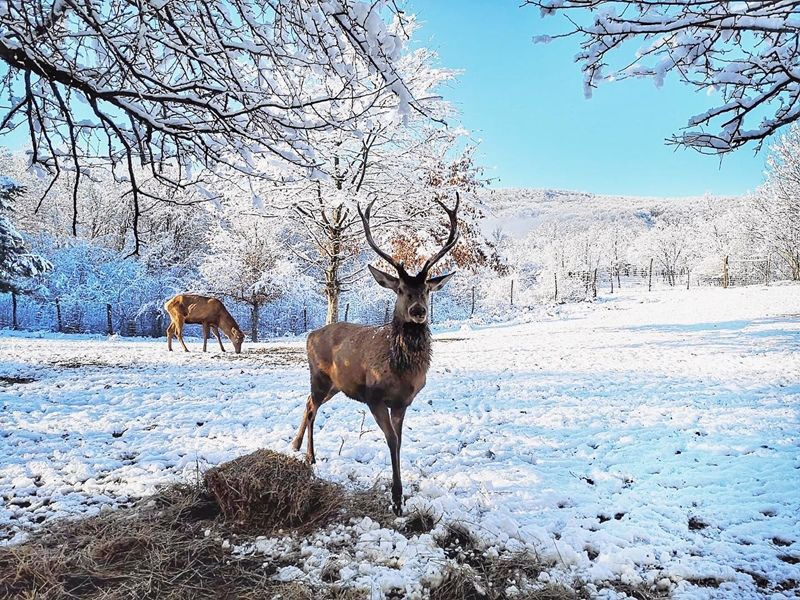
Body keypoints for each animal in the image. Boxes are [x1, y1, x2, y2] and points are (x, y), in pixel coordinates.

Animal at [292, 197, 456, 516]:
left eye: (427, 289)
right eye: (401, 290)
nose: (419, 311)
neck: (402, 372)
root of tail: (310, 334)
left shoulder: (403, 402)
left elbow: (400, 441)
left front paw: (400, 496)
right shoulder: (373, 396)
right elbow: (391, 440)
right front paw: (396, 498)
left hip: (335, 385)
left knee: (308, 403)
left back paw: (294, 446)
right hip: (318, 376)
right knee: (311, 407)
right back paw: (309, 457)